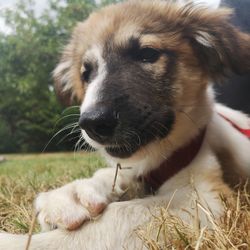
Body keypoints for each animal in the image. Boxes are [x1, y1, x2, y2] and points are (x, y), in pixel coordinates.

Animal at [0, 0, 250, 249]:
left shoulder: (205, 199)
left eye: (147, 54)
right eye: (86, 73)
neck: (159, 158)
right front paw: (73, 193)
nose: (93, 123)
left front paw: (15, 242)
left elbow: (118, 216)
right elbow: (116, 175)